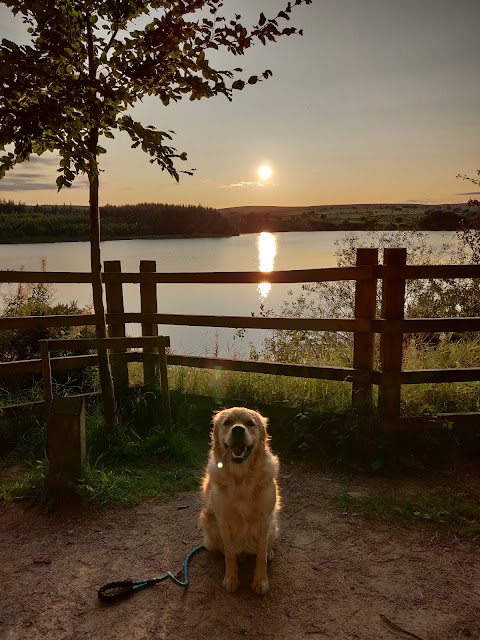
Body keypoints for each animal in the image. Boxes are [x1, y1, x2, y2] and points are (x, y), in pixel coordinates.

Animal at [200, 408, 282, 592]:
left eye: (250, 423)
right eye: (227, 422)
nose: (238, 429)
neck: (241, 479)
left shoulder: (265, 518)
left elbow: (261, 554)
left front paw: (261, 581)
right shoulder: (223, 520)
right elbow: (229, 553)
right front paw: (231, 578)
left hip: (273, 526)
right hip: (208, 521)